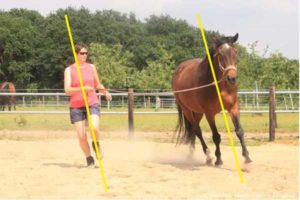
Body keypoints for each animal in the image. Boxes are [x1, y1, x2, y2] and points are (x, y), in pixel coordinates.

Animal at [171, 33, 251, 166]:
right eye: (220, 54)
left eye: (235, 52)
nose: (232, 78)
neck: (220, 86)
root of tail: (179, 70)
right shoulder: (209, 113)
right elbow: (216, 136)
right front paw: (218, 159)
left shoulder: (233, 107)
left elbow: (239, 131)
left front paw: (247, 157)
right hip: (187, 110)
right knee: (197, 130)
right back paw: (208, 156)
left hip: (197, 112)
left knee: (193, 131)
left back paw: (191, 155)